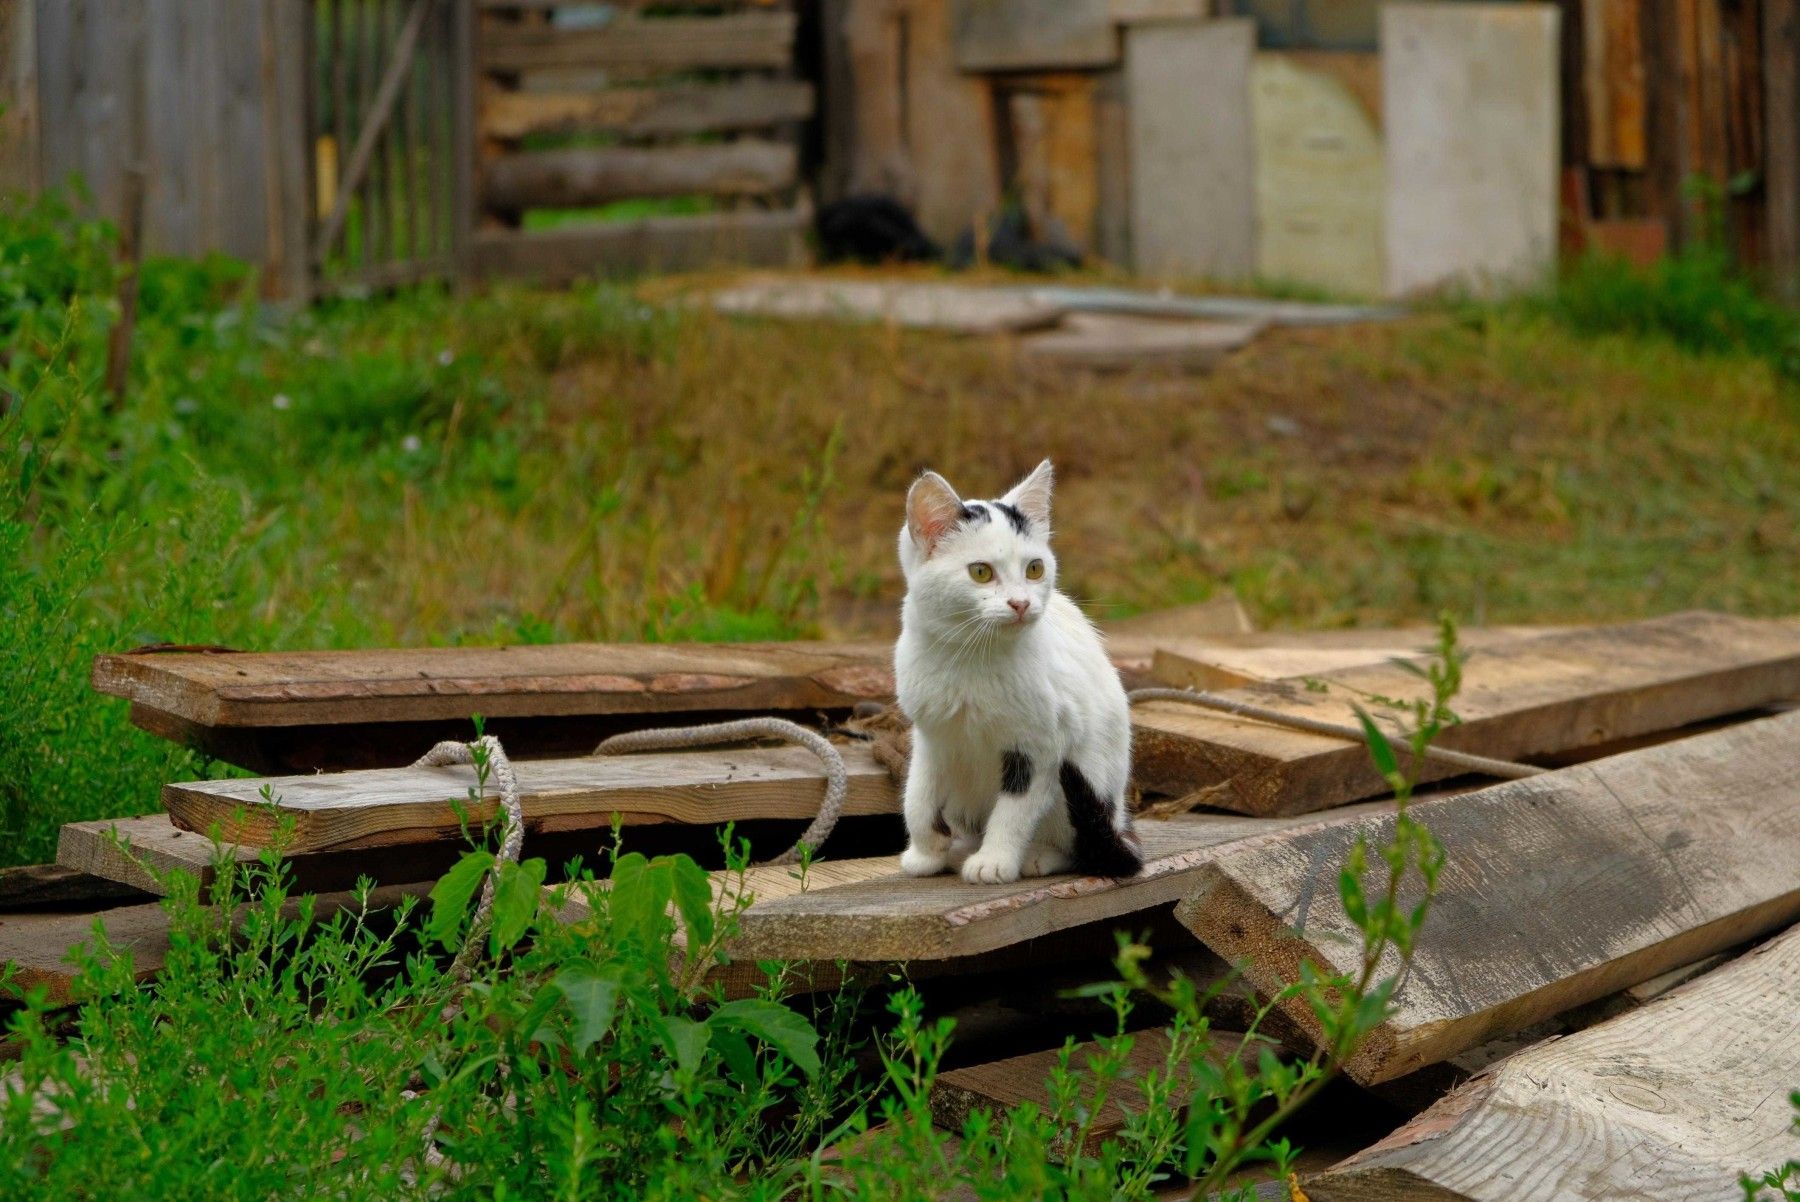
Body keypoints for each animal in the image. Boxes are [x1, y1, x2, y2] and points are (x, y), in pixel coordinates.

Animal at [896, 460, 1137, 881]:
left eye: (1035, 568)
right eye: (980, 572)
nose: (1021, 603)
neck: (971, 659)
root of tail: (1118, 818)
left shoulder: (1044, 745)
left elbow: (1014, 810)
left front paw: (994, 862)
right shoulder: (932, 736)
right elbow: (918, 795)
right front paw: (925, 853)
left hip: (1089, 779)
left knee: (1079, 842)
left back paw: (1039, 857)